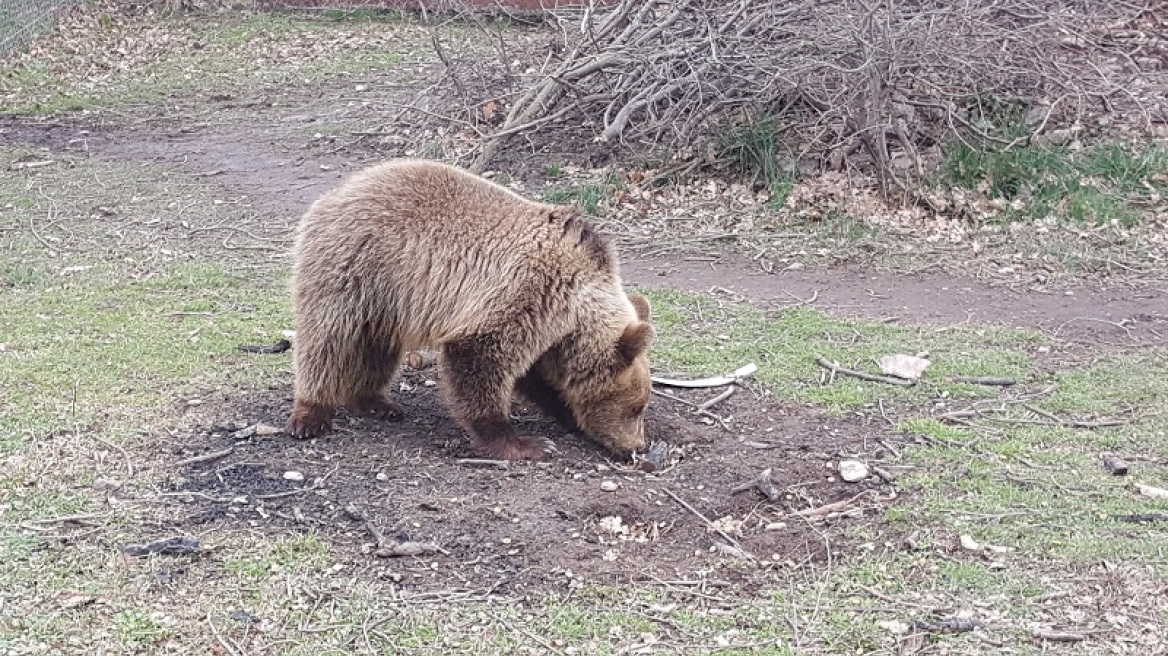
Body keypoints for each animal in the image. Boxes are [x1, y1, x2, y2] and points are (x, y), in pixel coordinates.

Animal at [279, 157, 654, 459]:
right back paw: (311, 415)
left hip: (387, 300)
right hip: (353, 268)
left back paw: (375, 402)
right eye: (636, 407)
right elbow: (479, 358)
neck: (575, 307)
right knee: (327, 340)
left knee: (376, 347)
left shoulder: (546, 328)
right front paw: (524, 443)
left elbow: (536, 376)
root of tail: (335, 192)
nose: (636, 447)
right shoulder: (527, 291)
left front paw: (565, 414)